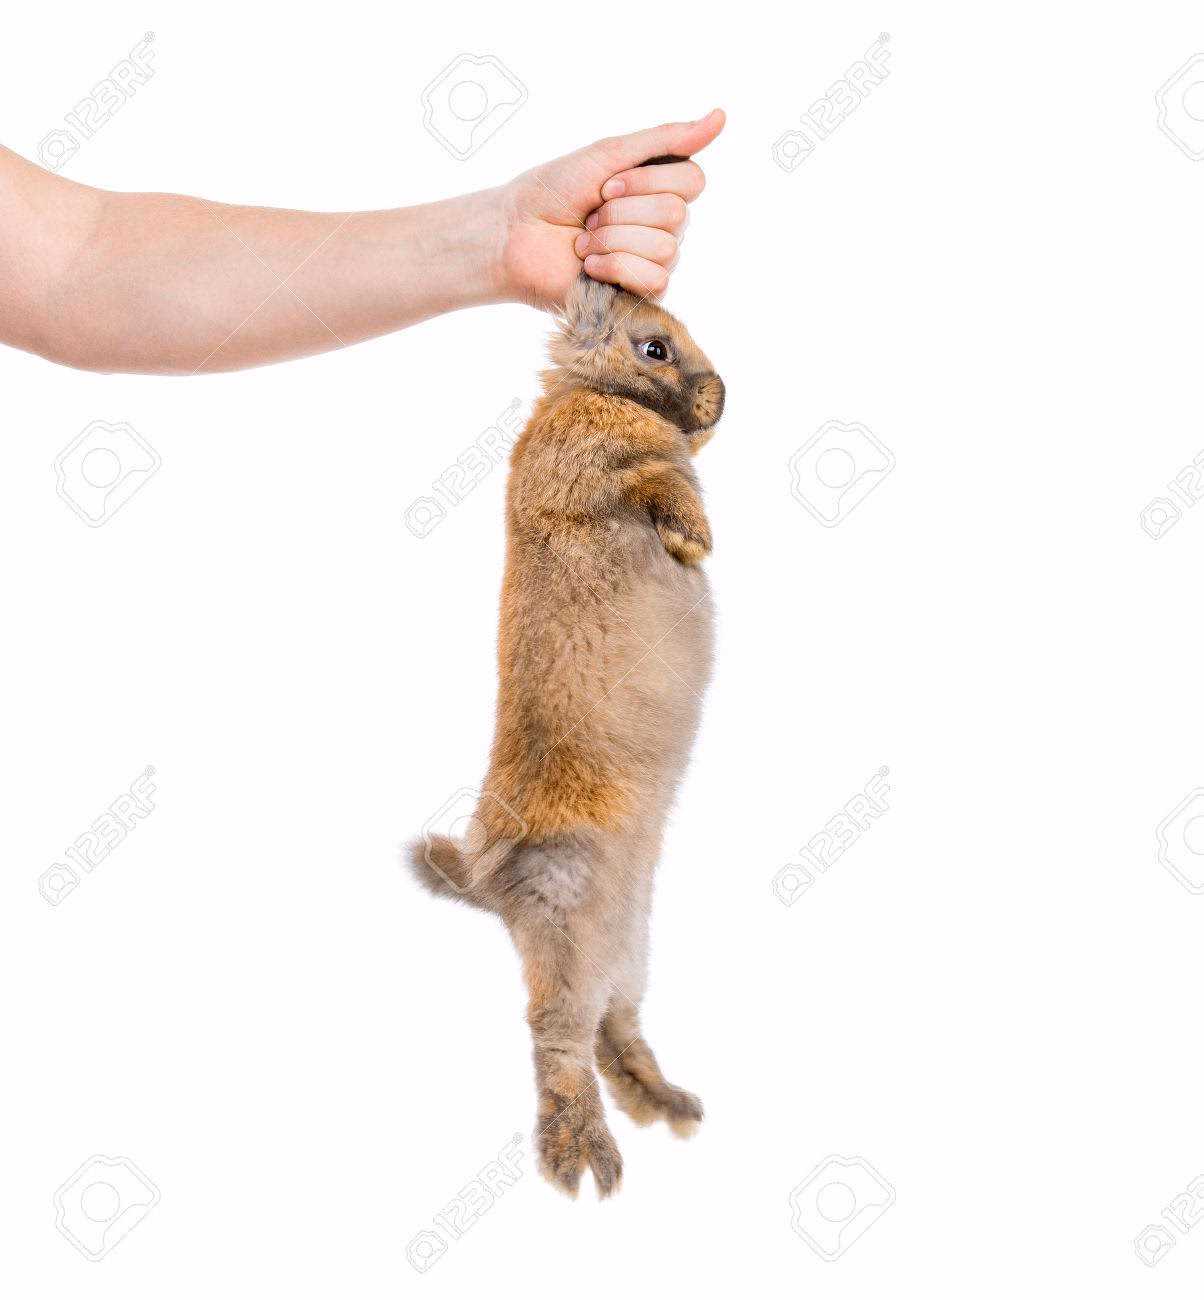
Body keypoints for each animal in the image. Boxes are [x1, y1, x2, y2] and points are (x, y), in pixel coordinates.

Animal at [408, 270, 724, 1198]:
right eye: (654, 347)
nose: (720, 398)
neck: (595, 391)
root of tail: (489, 885)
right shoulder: (607, 469)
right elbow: (656, 484)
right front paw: (696, 539)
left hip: (629, 949)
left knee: (615, 1032)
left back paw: (669, 1106)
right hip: (572, 932)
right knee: (557, 1040)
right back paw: (584, 1160)